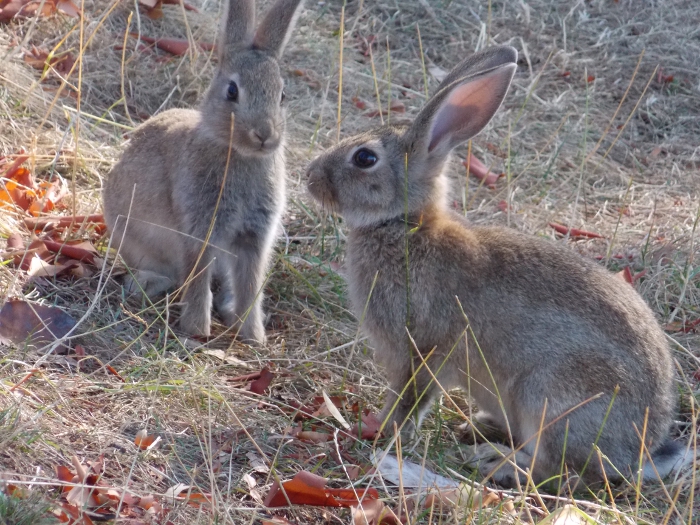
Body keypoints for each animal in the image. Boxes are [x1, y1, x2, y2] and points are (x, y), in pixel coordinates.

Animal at [102, 0, 304, 344]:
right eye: (232, 91)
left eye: (282, 95)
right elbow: (197, 276)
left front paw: (253, 336)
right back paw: (146, 285)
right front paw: (197, 329)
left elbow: (250, 284)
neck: (238, 153)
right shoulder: (199, 225)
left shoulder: (255, 236)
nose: (264, 134)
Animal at [306, 46, 688, 488]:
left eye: (365, 158)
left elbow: (410, 398)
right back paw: (481, 428)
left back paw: (498, 462)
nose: (309, 176)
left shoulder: (422, 349)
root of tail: (638, 454)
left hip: (551, 396)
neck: (404, 225)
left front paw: (382, 429)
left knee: (562, 473)